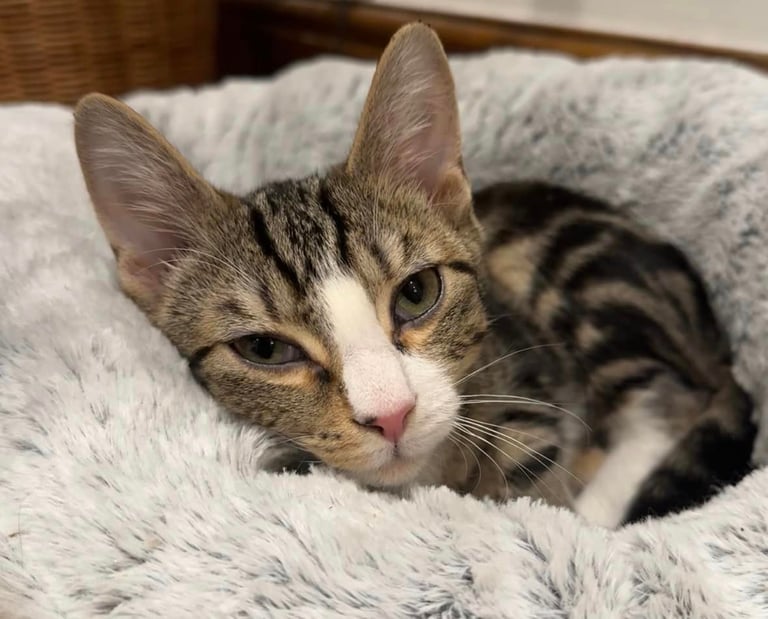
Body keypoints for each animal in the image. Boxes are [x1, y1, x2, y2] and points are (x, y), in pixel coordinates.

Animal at [73, 23, 756, 528]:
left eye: (417, 293)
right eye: (264, 349)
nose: (392, 415)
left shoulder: (526, 389)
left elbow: (529, 496)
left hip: (580, 268)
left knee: (665, 399)